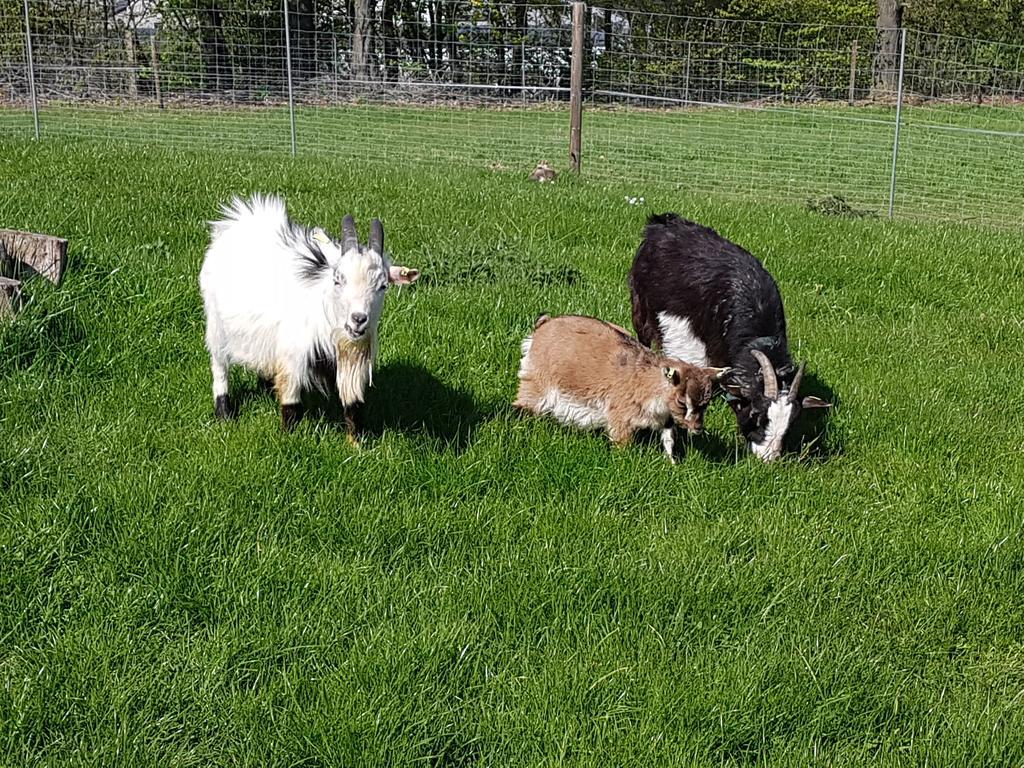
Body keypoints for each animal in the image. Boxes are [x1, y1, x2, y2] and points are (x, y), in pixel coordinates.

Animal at [199, 195, 419, 438]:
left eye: (382, 286)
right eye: (337, 279)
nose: (358, 319)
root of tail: (239, 220)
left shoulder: (352, 360)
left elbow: (353, 407)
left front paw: (357, 443)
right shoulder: (292, 359)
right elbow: (291, 407)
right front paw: (288, 438)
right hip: (216, 325)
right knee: (219, 366)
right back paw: (224, 412)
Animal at [512, 313, 729, 462]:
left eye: (706, 404)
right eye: (682, 402)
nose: (697, 428)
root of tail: (543, 326)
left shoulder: (664, 418)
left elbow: (669, 438)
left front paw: (672, 463)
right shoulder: (620, 414)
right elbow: (622, 441)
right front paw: (623, 460)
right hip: (536, 380)